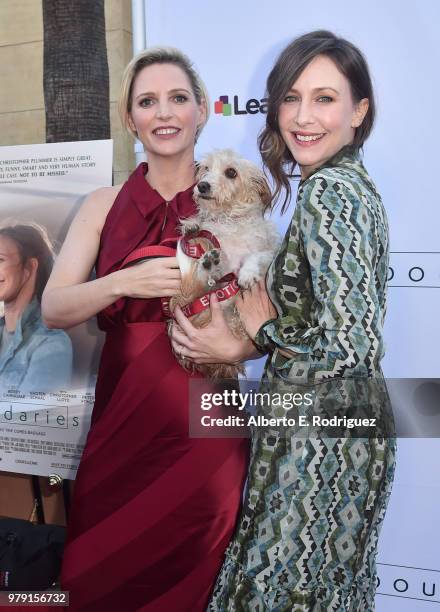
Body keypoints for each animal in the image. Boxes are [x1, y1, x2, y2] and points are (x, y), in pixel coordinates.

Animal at [168, 148, 278, 378]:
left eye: (231, 172)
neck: (229, 220)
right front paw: (192, 225)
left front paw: (247, 274)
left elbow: (256, 256)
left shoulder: (268, 251)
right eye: (206, 169)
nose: (202, 185)